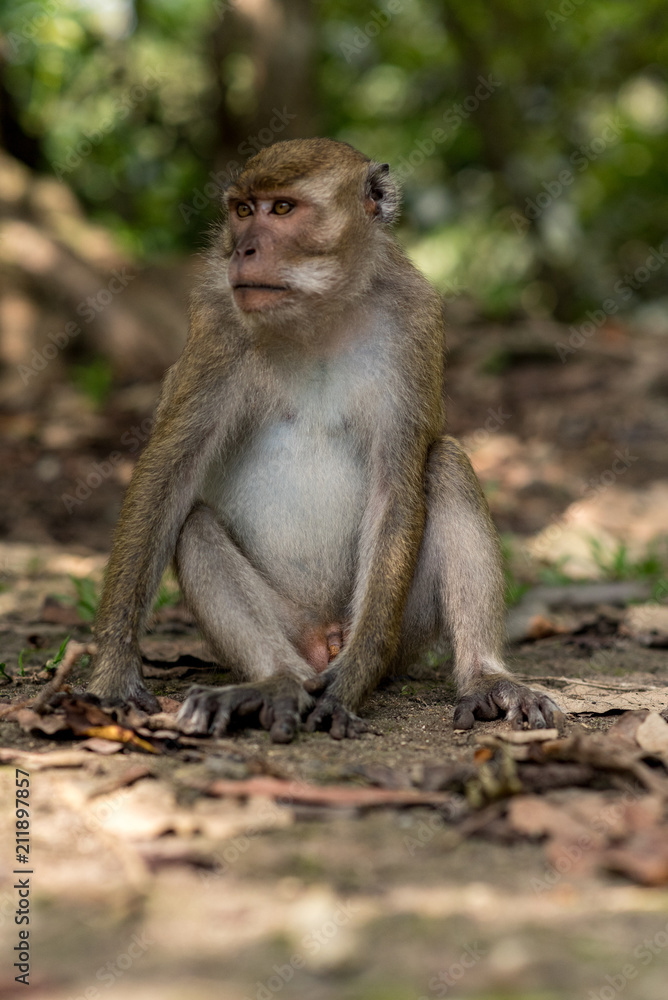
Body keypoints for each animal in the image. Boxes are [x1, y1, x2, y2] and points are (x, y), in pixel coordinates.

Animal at [88, 135, 560, 744]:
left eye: (283, 209)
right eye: (243, 210)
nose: (243, 250)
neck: (317, 316)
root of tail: (323, 637)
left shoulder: (415, 321)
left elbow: (397, 489)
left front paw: (351, 682)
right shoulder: (217, 321)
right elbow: (168, 472)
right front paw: (113, 674)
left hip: (405, 631)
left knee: (446, 463)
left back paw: (484, 677)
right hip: (291, 626)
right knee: (193, 526)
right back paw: (276, 683)